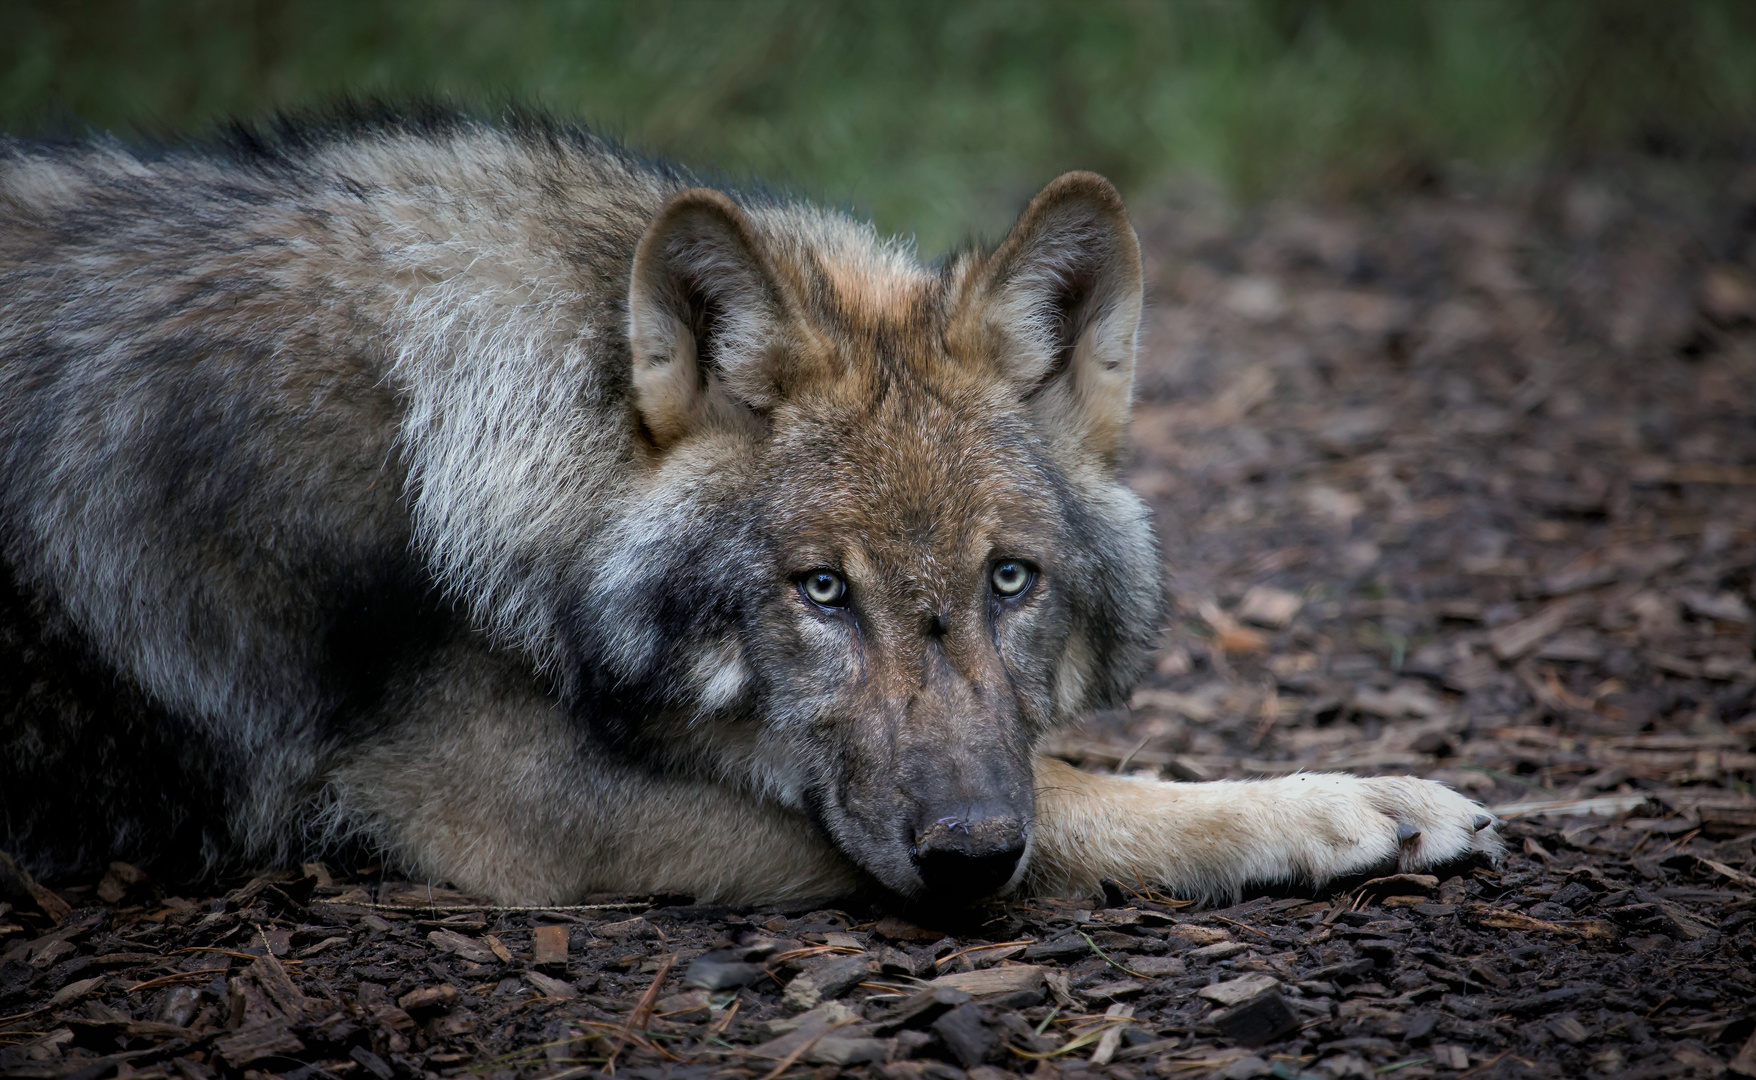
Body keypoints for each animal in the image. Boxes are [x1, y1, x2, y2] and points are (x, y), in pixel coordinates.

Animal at [0, 107, 1496, 906]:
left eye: (1010, 581)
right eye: (820, 591)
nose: (968, 857)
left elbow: (1058, 772)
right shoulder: (505, 808)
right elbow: (1083, 797)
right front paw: (1347, 806)